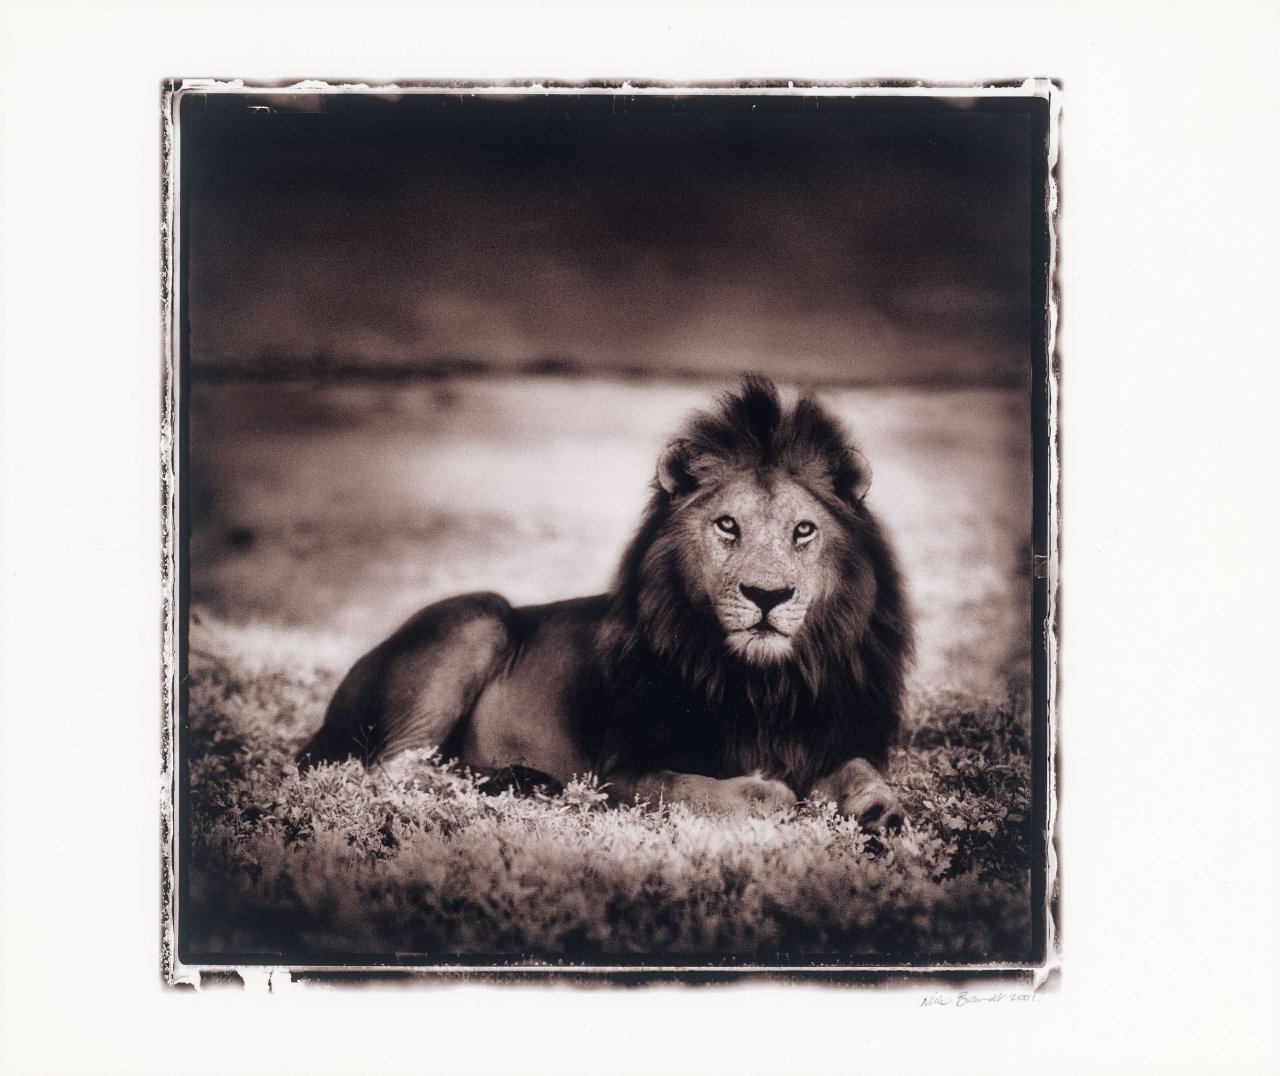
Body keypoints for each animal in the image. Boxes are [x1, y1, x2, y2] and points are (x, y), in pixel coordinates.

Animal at [300, 376, 913, 826]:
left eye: (803, 530)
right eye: (727, 525)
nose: (768, 595)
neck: (767, 685)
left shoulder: (840, 736)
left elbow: (863, 771)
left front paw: (880, 811)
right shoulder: (621, 772)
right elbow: (718, 789)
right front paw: (778, 792)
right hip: (477, 616)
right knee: (394, 769)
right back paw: (515, 783)